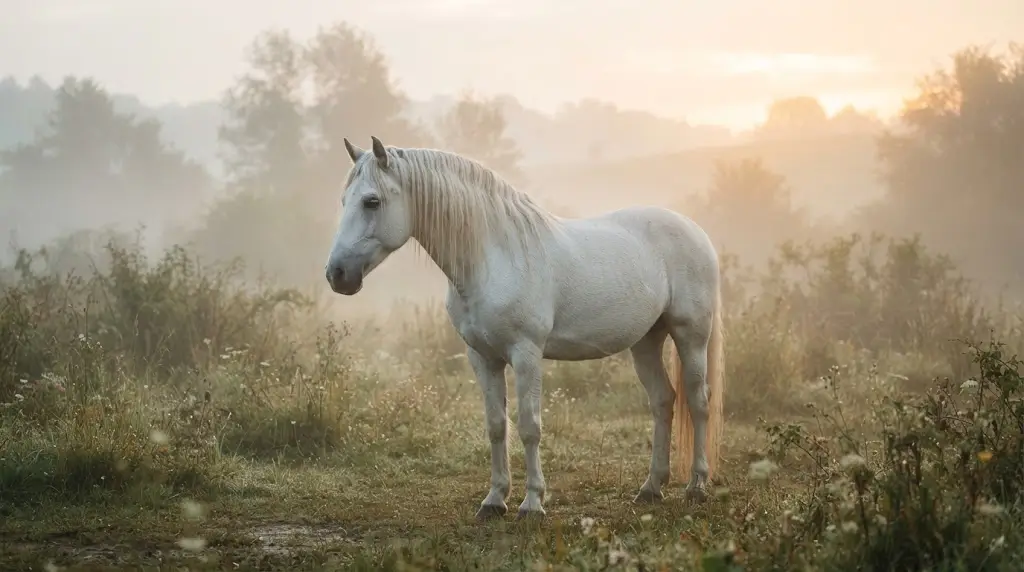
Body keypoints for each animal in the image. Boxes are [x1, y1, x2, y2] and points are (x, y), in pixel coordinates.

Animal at [324, 136, 725, 521]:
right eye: (343, 200)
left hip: (691, 336)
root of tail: (696, 231)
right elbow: (496, 426)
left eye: (372, 202)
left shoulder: (526, 354)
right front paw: (494, 500)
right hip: (645, 341)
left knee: (698, 401)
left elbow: (530, 427)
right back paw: (651, 489)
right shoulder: (483, 357)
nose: (337, 274)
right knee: (663, 401)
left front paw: (532, 504)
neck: (493, 258)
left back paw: (696, 487)